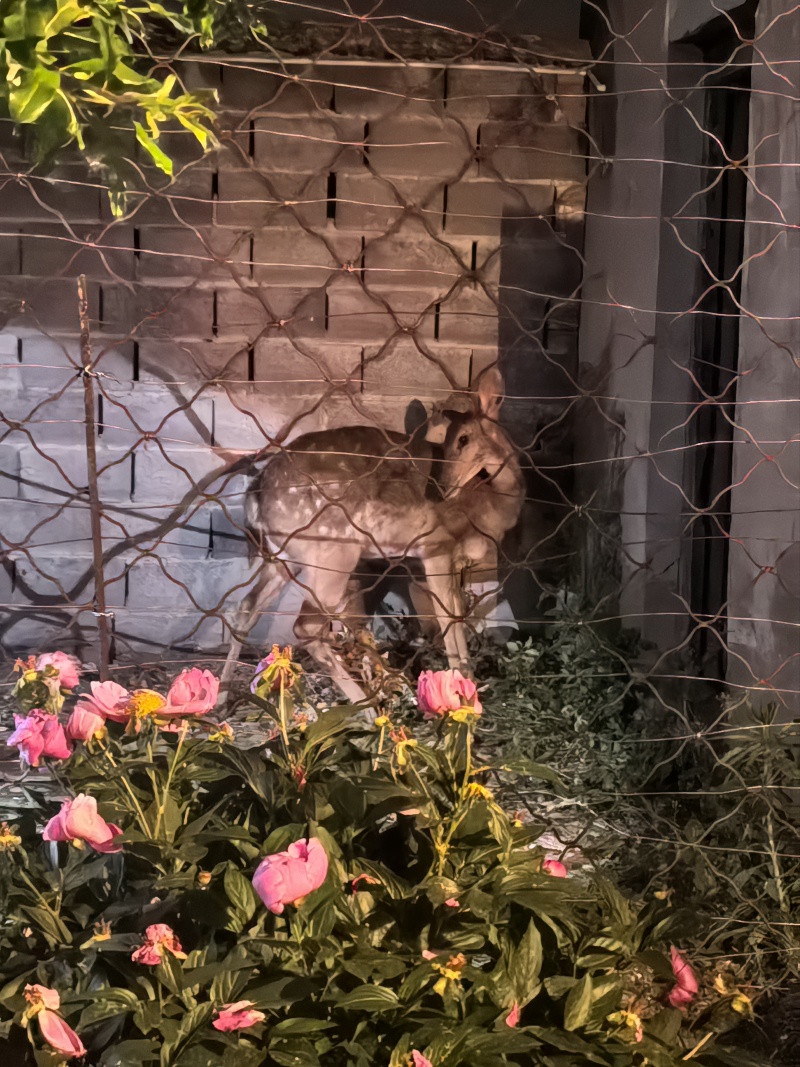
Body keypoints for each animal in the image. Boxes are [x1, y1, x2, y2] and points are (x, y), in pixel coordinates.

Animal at [219, 367, 524, 707]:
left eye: (463, 437)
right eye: (452, 439)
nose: (443, 487)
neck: (490, 502)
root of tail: (255, 494)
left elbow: (454, 616)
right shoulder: (435, 547)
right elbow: (448, 620)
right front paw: (463, 692)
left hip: (283, 555)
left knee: (246, 606)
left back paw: (222, 697)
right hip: (333, 550)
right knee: (305, 625)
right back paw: (366, 706)